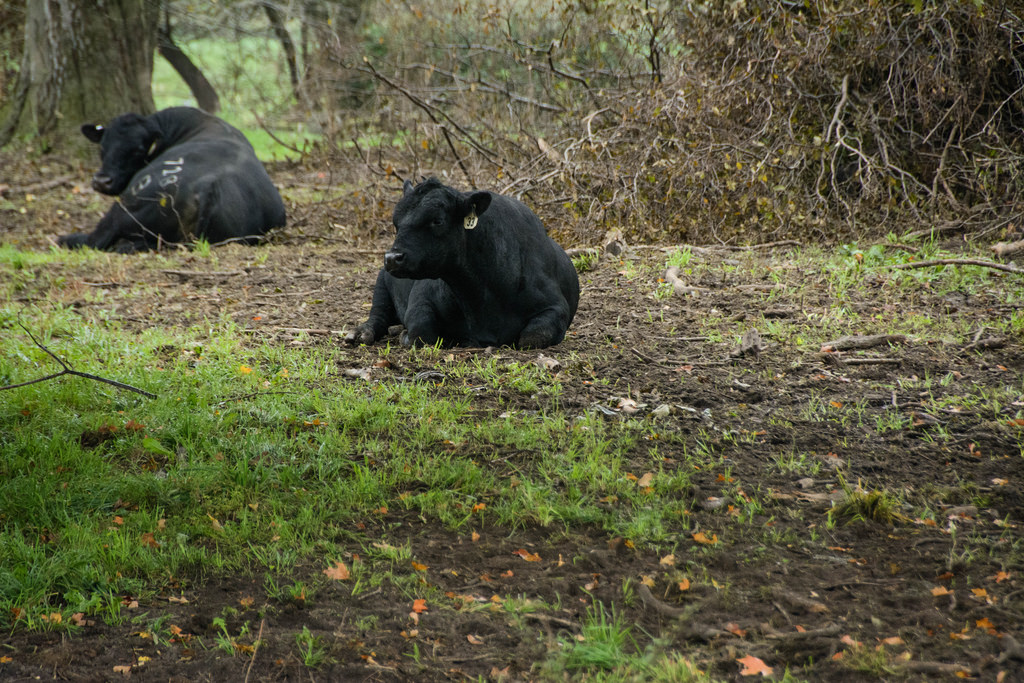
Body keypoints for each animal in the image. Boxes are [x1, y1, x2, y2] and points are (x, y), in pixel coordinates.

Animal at [58, 108, 286, 252]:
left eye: (137, 150)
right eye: (103, 146)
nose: (102, 180)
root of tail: (207, 186)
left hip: (123, 208)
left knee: (95, 240)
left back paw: (67, 239)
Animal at [348, 179, 581, 350]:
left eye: (437, 220)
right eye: (396, 223)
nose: (392, 257)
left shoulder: (556, 306)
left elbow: (532, 337)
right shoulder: (420, 299)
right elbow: (421, 332)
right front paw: (407, 334)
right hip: (382, 284)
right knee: (378, 316)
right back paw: (361, 333)